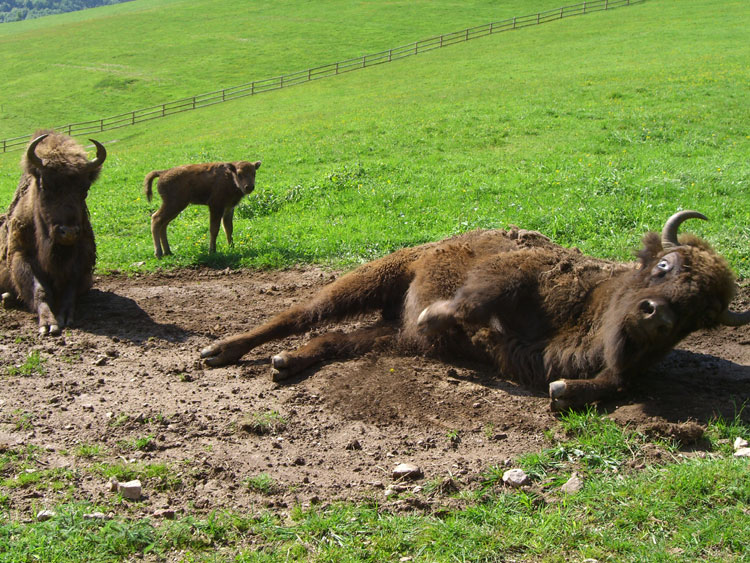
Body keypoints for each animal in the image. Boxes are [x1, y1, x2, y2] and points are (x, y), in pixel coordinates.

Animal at [0, 132, 106, 334]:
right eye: (45, 185)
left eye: (85, 188)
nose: (69, 232)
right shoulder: (21, 255)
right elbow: (39, 289)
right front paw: (49, 324)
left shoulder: (81, 258)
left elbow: (70, 288)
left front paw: (65, 316)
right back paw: (7, 298)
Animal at [200, 212, 750, 410]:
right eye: (664, 264)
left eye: (701, 313)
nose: (657, 314)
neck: (596, 301)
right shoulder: (518, 273)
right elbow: (479, 296)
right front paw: (437, 314)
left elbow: (615, 382)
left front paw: (565, 391)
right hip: (372, 278)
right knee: (299, 315)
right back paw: (220, 352)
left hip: (390, 335)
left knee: (334, 340)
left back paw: (287, 363)